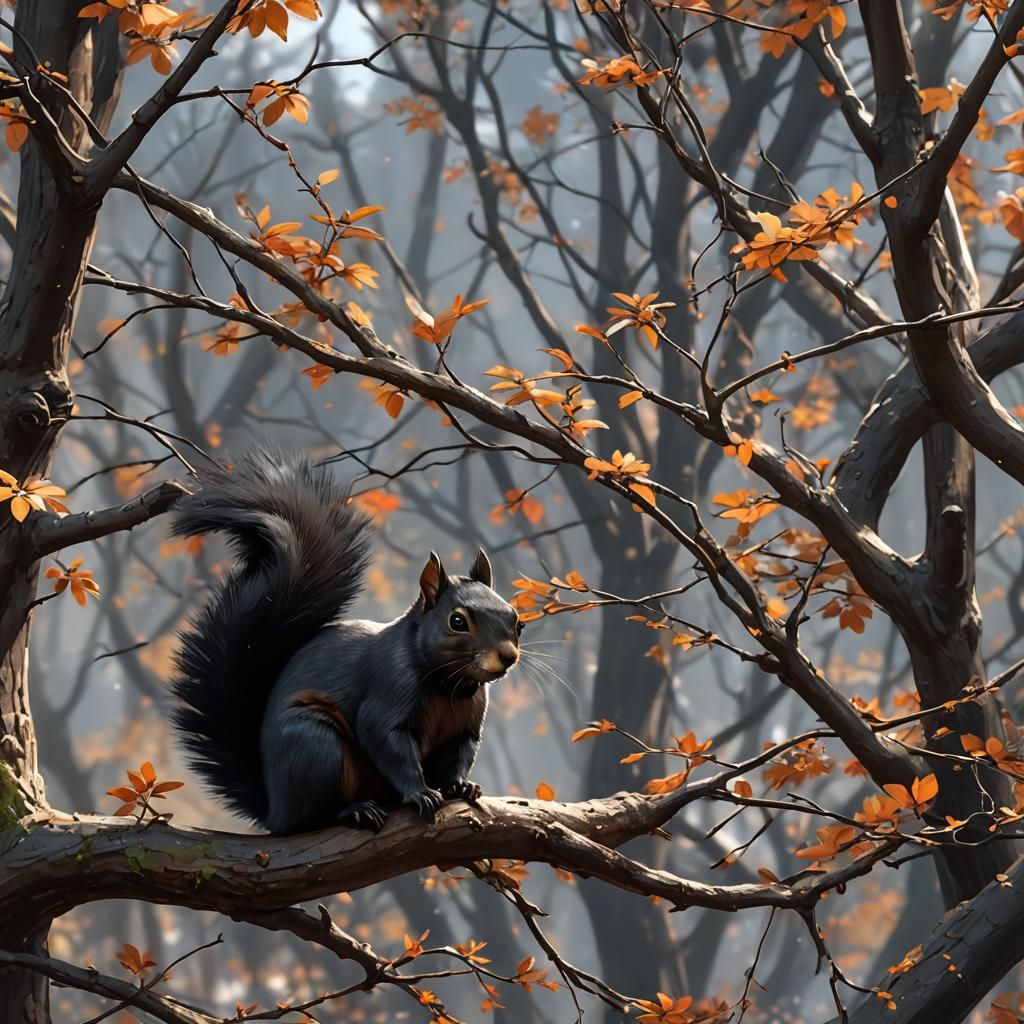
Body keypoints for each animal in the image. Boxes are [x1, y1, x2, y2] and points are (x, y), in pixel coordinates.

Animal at [169, 448, 521, 835]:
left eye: (516, 620)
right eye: (457, 621)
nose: (508, 655)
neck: (451, 686)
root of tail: (274, 810)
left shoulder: (466, 728)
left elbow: (460, 755)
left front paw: (461, 785)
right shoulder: (387, 695)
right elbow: (388, 743)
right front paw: (421, 792)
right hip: (315, 746)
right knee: (311, 818)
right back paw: (354, 811)